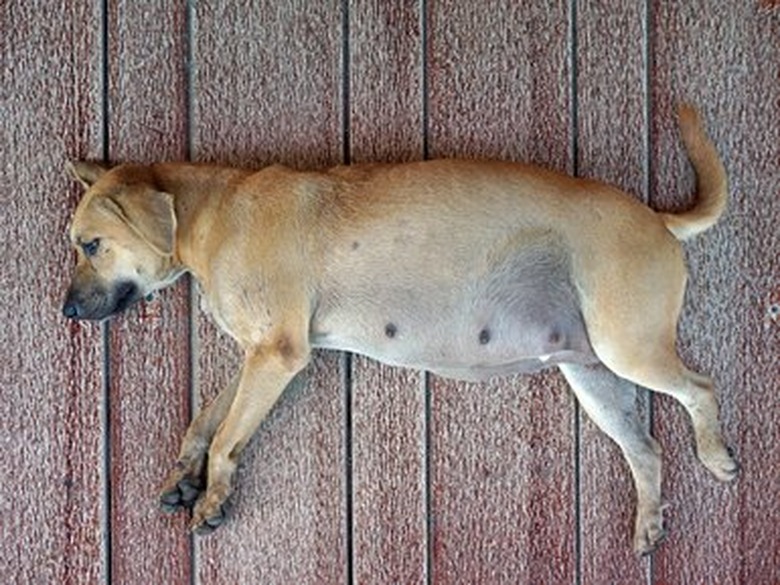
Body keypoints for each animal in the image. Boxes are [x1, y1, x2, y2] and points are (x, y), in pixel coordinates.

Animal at [62, 105, 736, 552]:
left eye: (90, 244)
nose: (66, 311)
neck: (211, 214)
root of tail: (657, 218)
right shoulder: (260, 355)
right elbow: (207, 418)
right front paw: (185, 474)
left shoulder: (277, 356)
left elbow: (229, 434)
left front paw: (212, 497)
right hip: (592, 374)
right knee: (646, 449)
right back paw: (648, 523)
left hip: (629, 348)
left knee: (701, 388)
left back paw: (715, 454)